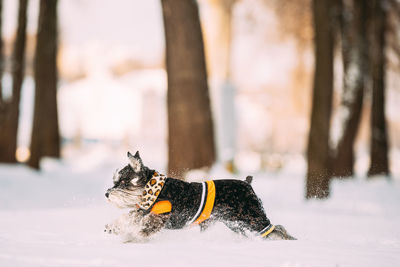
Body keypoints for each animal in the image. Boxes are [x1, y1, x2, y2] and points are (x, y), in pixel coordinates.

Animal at [104, 152, 296, 242]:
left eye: (123, 181)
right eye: (115, 180)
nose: (107, 194)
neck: (155, 191)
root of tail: (247, 183)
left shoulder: (158, 217)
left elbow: (143, 228)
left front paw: (131, 237)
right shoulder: (143, 211)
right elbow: (128, 217)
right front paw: (113, 228)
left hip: (254, 219)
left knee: (276, 230)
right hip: (237, 224)